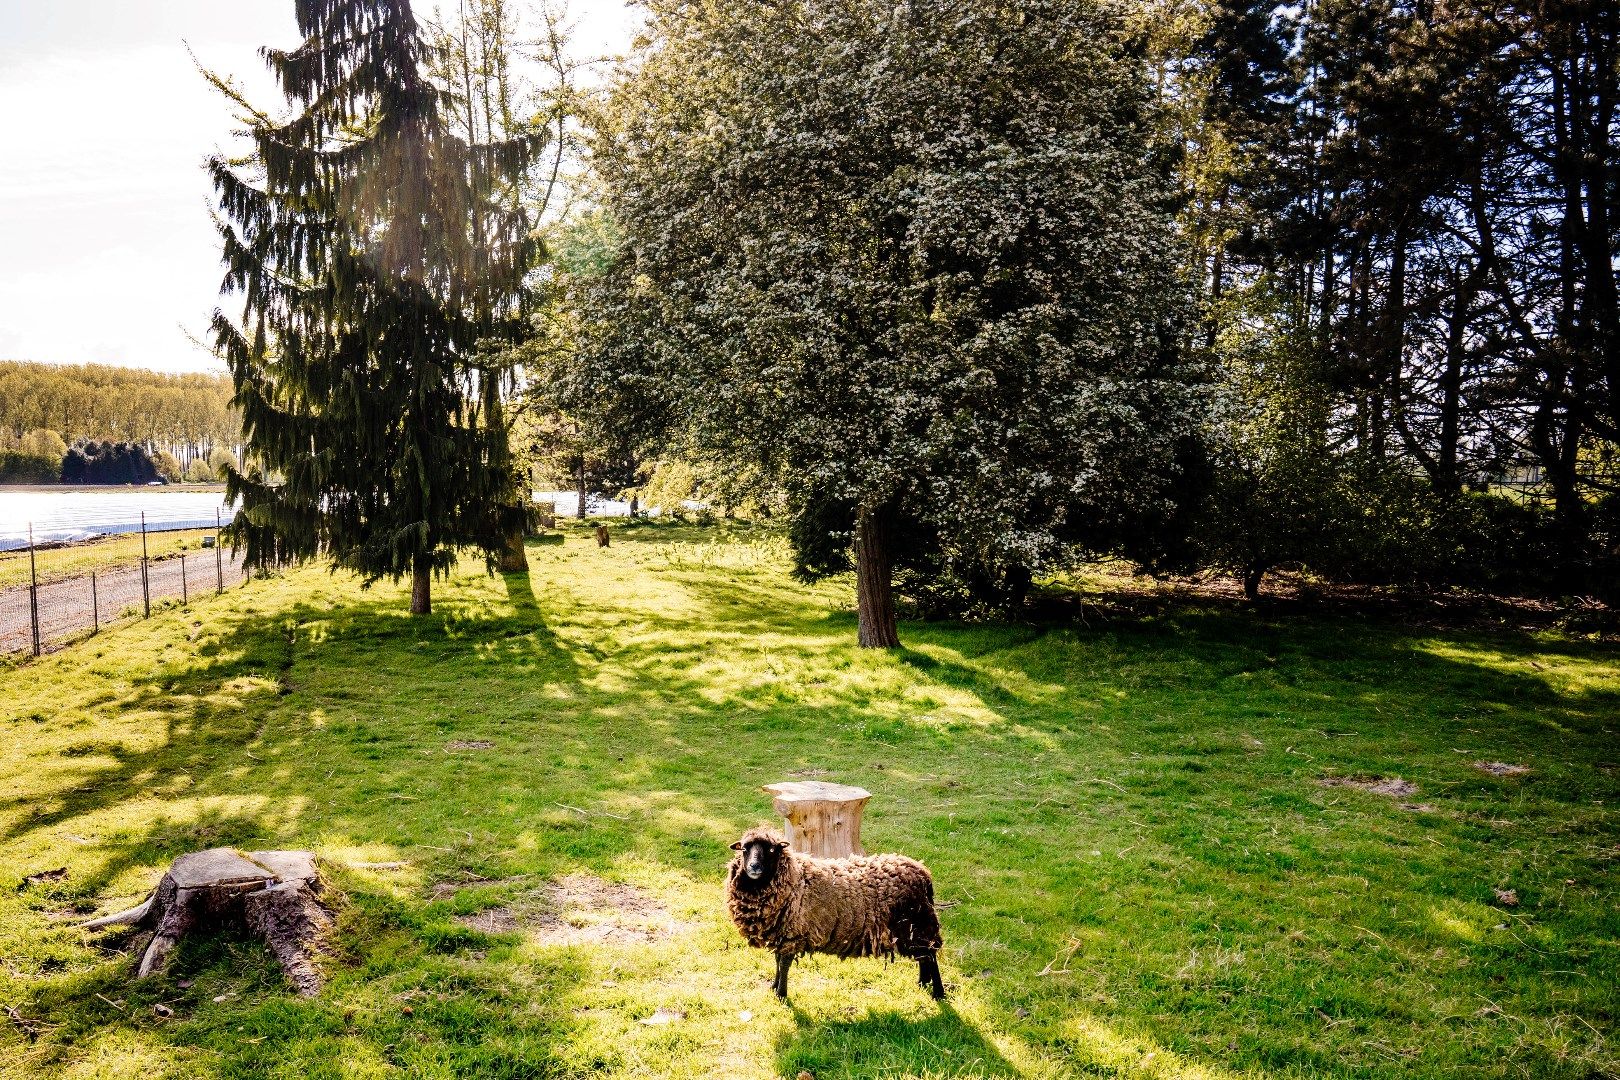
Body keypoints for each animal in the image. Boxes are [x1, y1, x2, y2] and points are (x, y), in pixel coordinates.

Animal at [725, 835, 946, 1003]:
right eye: (744, 848)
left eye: (771, 850)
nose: (754, 867)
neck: (794, 879)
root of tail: (924, 874)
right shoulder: (781, 934)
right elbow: (778, 961)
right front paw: (774, 986)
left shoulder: (791, 934)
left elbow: (784, 963)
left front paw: (781, 994)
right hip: (914, 929)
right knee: (924, 956)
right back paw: (922, 983)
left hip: (918, 924)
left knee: (930, 955)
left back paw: (938, 993)